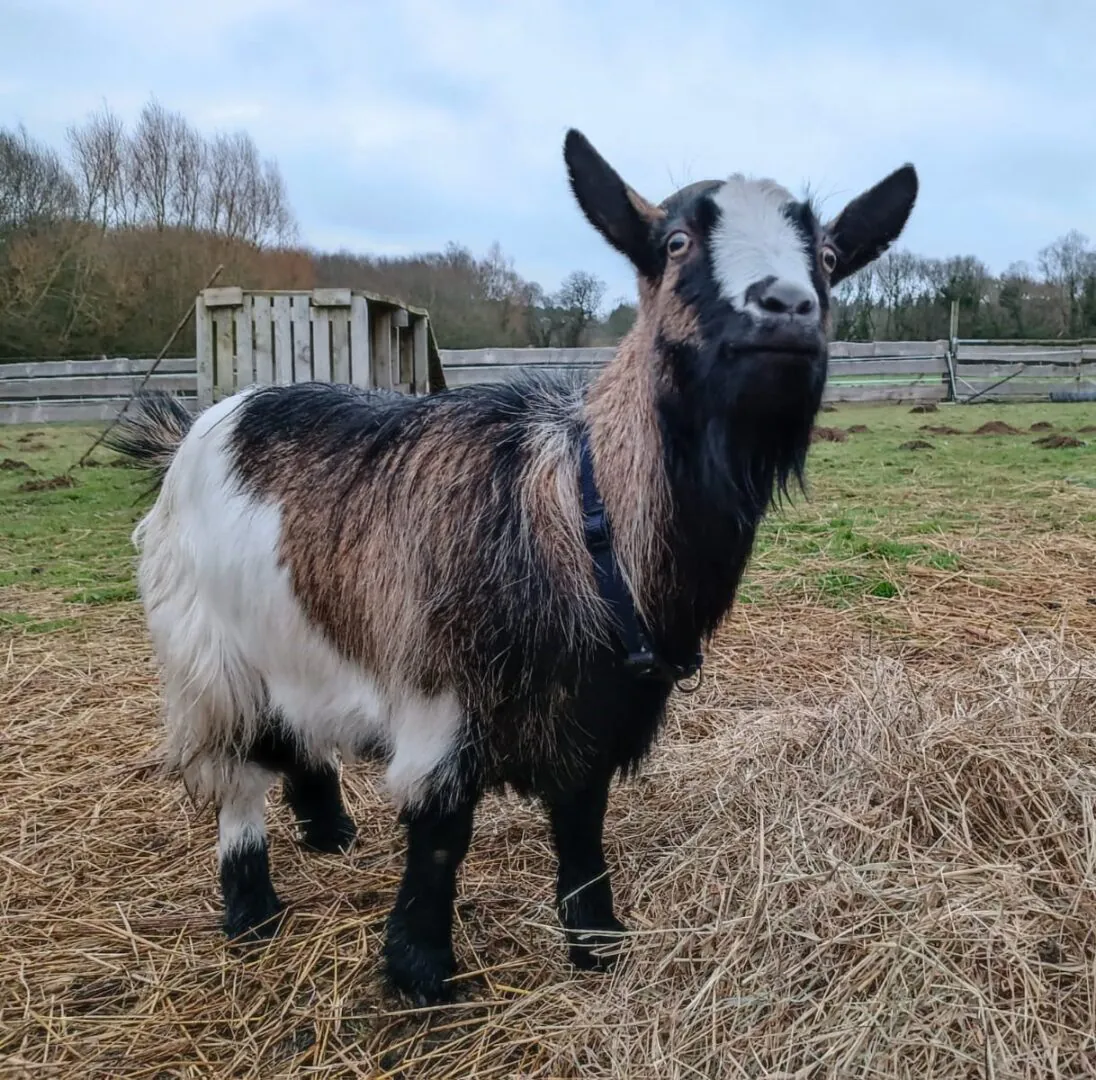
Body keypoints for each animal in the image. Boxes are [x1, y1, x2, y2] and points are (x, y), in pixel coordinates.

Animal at [109, 132, 916, 1004]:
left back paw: (329, 827)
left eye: (828, 255)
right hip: (204, 651)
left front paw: (596, 939)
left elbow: (582, 820)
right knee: (237, 770)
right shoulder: (440, 696)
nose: (786, 307)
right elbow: (441, 833)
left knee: (294, 731)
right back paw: (251, 905)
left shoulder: (598, 708)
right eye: (675, 242)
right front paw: (421, 972)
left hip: (293, 634)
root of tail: (202, 422)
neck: (576, 514)